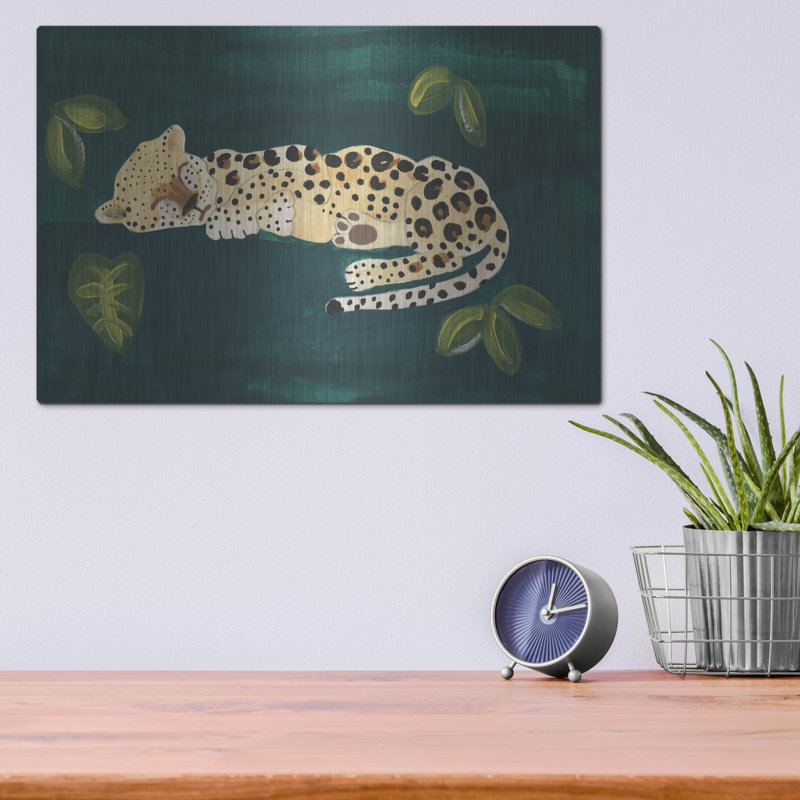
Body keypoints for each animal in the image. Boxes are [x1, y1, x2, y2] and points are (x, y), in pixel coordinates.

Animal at [95, 125, 509, 313]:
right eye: (158, 206)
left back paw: (363, 273)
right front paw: (261, 218)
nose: (194, 204)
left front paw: (232, 215)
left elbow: (263, 180)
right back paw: (355, 232)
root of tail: (492, 211)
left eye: (184, 174)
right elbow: (276, 214)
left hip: (429, 188)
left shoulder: (304, 162)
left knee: (443, 257)